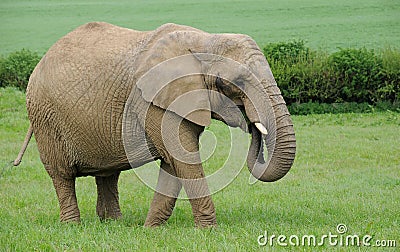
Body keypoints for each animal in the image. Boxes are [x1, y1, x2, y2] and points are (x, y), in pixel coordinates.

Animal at [14, 21, 296, 226]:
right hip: (45, 118)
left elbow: (173, 163)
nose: (251, 121)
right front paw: (210, 230)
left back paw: (113, 225)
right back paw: (73, 225)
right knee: (62, 176)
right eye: (237, 81)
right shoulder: (154, 101)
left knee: (108, 175)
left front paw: (151, 228)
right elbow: (182, 157)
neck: (204, 40)